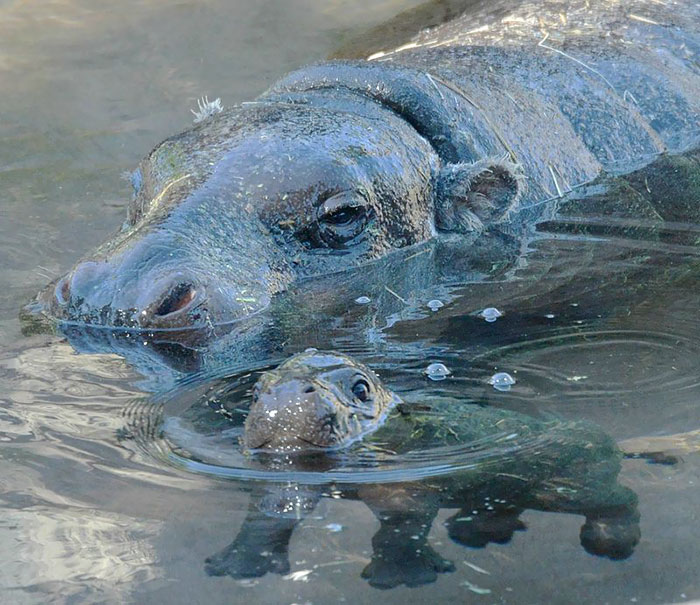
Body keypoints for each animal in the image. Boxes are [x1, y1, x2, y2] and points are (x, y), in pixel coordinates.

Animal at [200, 349, 657, 589]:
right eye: (258, 387)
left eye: (360, 388)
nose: (290, 391)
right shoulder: (281, 479)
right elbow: (268, 517)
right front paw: (241, 565)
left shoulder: (405, 488)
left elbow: (403, 526)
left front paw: (402, 574)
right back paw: (477, 530)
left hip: (568, 482)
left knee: (619, 497)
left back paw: (610, 538)